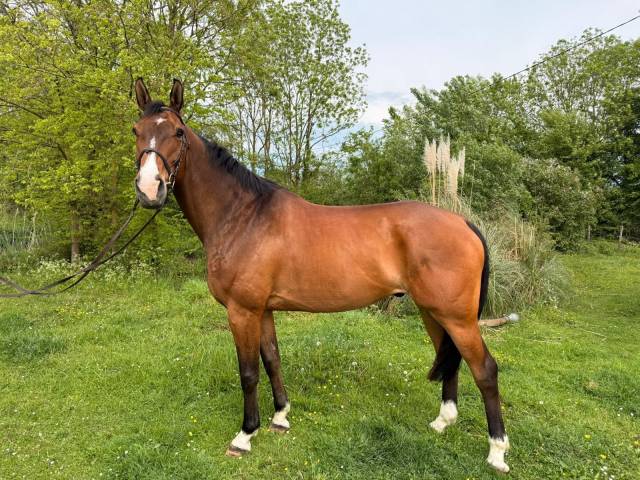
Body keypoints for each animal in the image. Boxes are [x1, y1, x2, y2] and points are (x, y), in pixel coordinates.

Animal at [131, 78, 510, 473]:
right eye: (136, 130)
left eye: (177, 132)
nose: (149, 189)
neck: (243, 215)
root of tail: (464, 222)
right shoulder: (263, 310)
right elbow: (272, 360)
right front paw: (280, 417)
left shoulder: (242, 311)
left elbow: (248, 372)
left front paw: (245, 435)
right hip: (433, 312)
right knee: (451, 360)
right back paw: (442, 422)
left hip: (458, 318)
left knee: (485, 370)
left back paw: (497, 451)